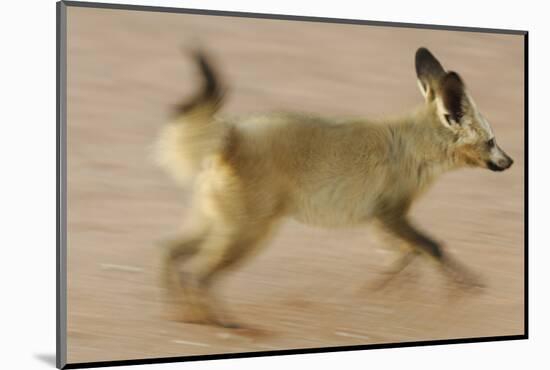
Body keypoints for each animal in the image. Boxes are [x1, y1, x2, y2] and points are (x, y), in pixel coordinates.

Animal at [154, 46, 512, 326]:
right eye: (492, 141)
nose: (510, 162)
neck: (412, 145)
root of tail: (231, 135)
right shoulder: (390, 214)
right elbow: (433, 247)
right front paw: (463, 286)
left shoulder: (381, 219)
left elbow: (409, 253)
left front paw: (389, 287)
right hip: (248, 234)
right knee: (198, 275)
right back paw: (220, 322)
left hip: (218, 226)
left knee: (170, 253)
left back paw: (182, 314)